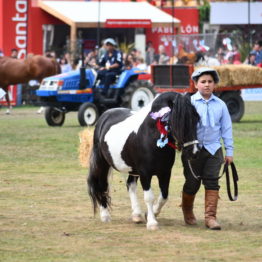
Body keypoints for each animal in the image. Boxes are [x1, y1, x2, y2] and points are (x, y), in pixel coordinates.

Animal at [87, 91, 200, 229]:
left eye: (196, 119)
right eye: (178, 121)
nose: (194, 152)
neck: (151, 134)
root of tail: (104, 116)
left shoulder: (165, 172)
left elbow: (164, 195)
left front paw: (153, 213)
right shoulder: (145, 173)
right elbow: (149, 197)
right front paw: (152, 222)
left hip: (133, 169)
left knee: (130, 185)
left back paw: (136, 215)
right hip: (102, 164)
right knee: (102, 185)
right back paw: (105, 216)